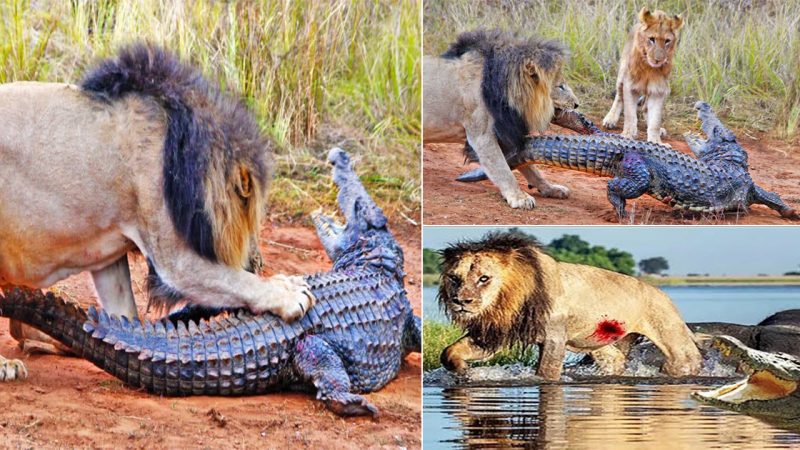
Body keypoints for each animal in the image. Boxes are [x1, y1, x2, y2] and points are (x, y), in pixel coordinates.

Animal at [0, 44, 316, 380]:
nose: (257, 261)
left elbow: (124, 312)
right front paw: (288, 291)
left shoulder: (107, 254)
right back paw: (6, 365)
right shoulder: (175, 260)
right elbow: (236, 281)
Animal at [424, 29, 576, 209]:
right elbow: (503, 169)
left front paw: (551, 189)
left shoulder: (504, 134)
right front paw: (519, 198)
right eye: (560, 86)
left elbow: (531, 168)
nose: (576, 104)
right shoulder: (482, 137)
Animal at [438, 232, 700, 380]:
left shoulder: (554, 337)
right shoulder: (497, 332)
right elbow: (449, 352)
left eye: (484, 278)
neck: (507, 301)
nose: (461, 301)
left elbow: (546, 372)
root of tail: (664, 295)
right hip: (598, 342)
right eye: (454, 278)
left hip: (670, 333)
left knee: (687, 358)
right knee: (615, 358)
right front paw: (464, 372)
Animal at [604, 7, 684, 144]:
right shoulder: (630, 86)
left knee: (645, 108)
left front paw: (656, 141)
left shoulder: (659, 90)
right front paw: (627, 135)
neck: (649, 69)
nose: (658, 60)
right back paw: (610, 119)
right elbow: (630, 115)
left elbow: (655, 120)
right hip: (622, 74)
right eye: (652, 39)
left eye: (667, 41)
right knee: (619, 97)